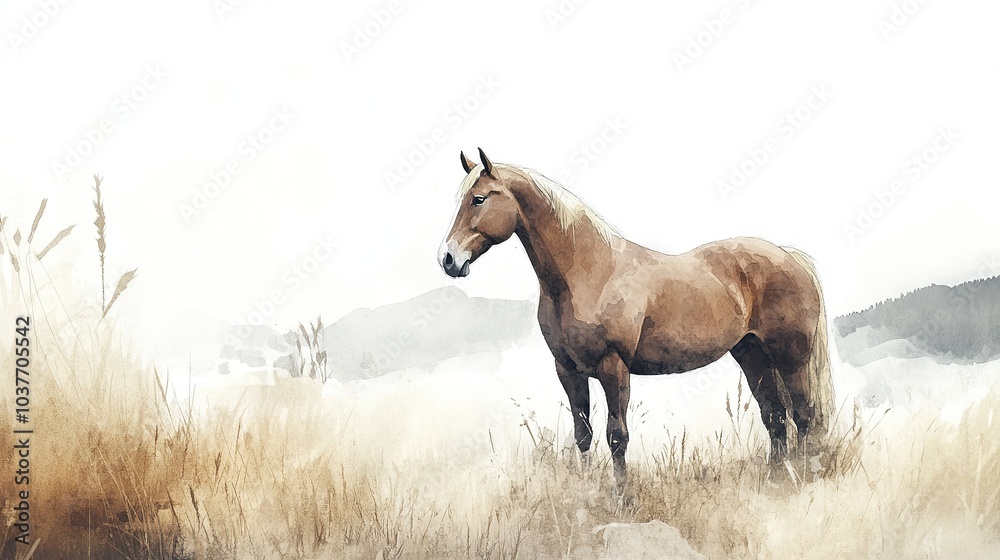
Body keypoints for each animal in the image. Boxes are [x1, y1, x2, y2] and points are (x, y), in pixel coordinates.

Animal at [439, 148, 835, 488]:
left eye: (479, 199)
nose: (448, 259)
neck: (590, 272)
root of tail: (790, 256)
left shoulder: (614, 367)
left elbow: (617, 436)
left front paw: (621, 499)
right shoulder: (568, 370)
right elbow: (583, 435)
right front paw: (587, 493)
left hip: (791, 358)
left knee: (804, 415)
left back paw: (803, 479)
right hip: (752, 356)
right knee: (775, 418)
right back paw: (776, 481)